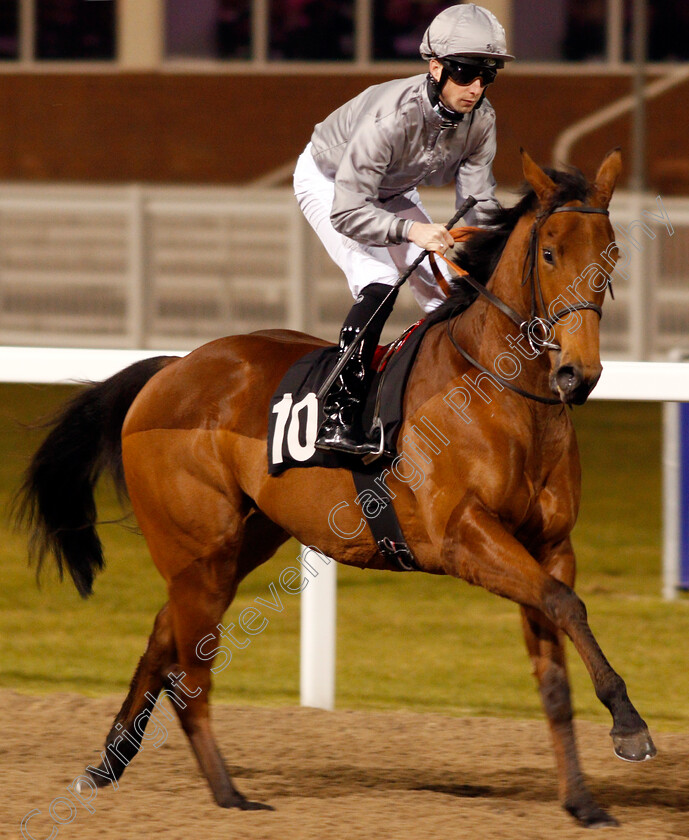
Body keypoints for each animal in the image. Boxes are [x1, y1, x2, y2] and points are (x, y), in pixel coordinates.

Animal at [17, 151, 656, 828]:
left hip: (239, 543)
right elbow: (567, 604)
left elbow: (556, 658)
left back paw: (108, 763)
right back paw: (227, 792)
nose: (578, 374)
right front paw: (629, 726)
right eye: (551, 252)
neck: (501, 391)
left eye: (612, 251)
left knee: (166, 636)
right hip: (199, 550)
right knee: (191, 673)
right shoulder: (463, 536)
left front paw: (583, 800)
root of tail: (169, 368)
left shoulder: (549, 545)